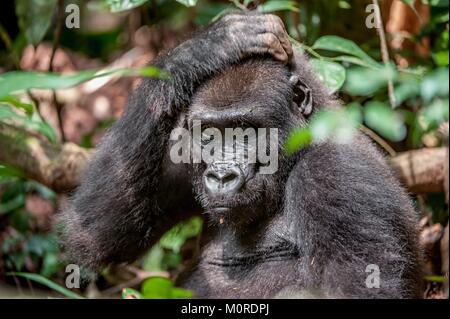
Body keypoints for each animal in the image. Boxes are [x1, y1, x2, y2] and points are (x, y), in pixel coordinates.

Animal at [61, 13, 424, 300]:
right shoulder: (181, 150)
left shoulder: (337, 177)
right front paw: (211, 45)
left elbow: (354, 289)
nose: (222, 175)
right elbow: (96, 232)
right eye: (209, 134)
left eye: (247, 130)